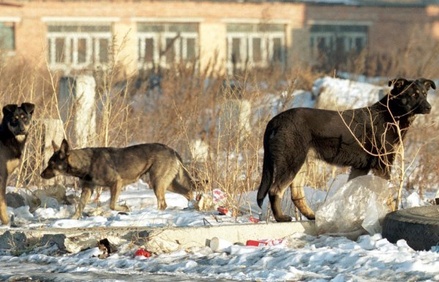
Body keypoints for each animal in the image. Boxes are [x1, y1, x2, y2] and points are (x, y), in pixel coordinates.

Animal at [41, 139, 196, 218]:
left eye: (51, 164)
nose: (41, 175)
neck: (86, 163)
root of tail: (172, 150)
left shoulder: (116, 183)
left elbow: (112, 204)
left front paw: (125, 208)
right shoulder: (87, 189)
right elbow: (79, 206)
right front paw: (73, 219)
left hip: (157, 183)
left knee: (163, 204)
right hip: (166, 183)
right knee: (188, 192)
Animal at [258, 77, 436, 223]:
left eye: (424, 93)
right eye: (413, 95)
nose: (429, 107)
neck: (391, 113)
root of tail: (274, 121)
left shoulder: (360, 168)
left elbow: (349, 193)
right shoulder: (382, 165)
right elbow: (388, 196)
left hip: (301, 164)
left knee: (296, 194)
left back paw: (311, 215)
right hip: (292, 162)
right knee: (275, 189)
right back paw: (281, 218)